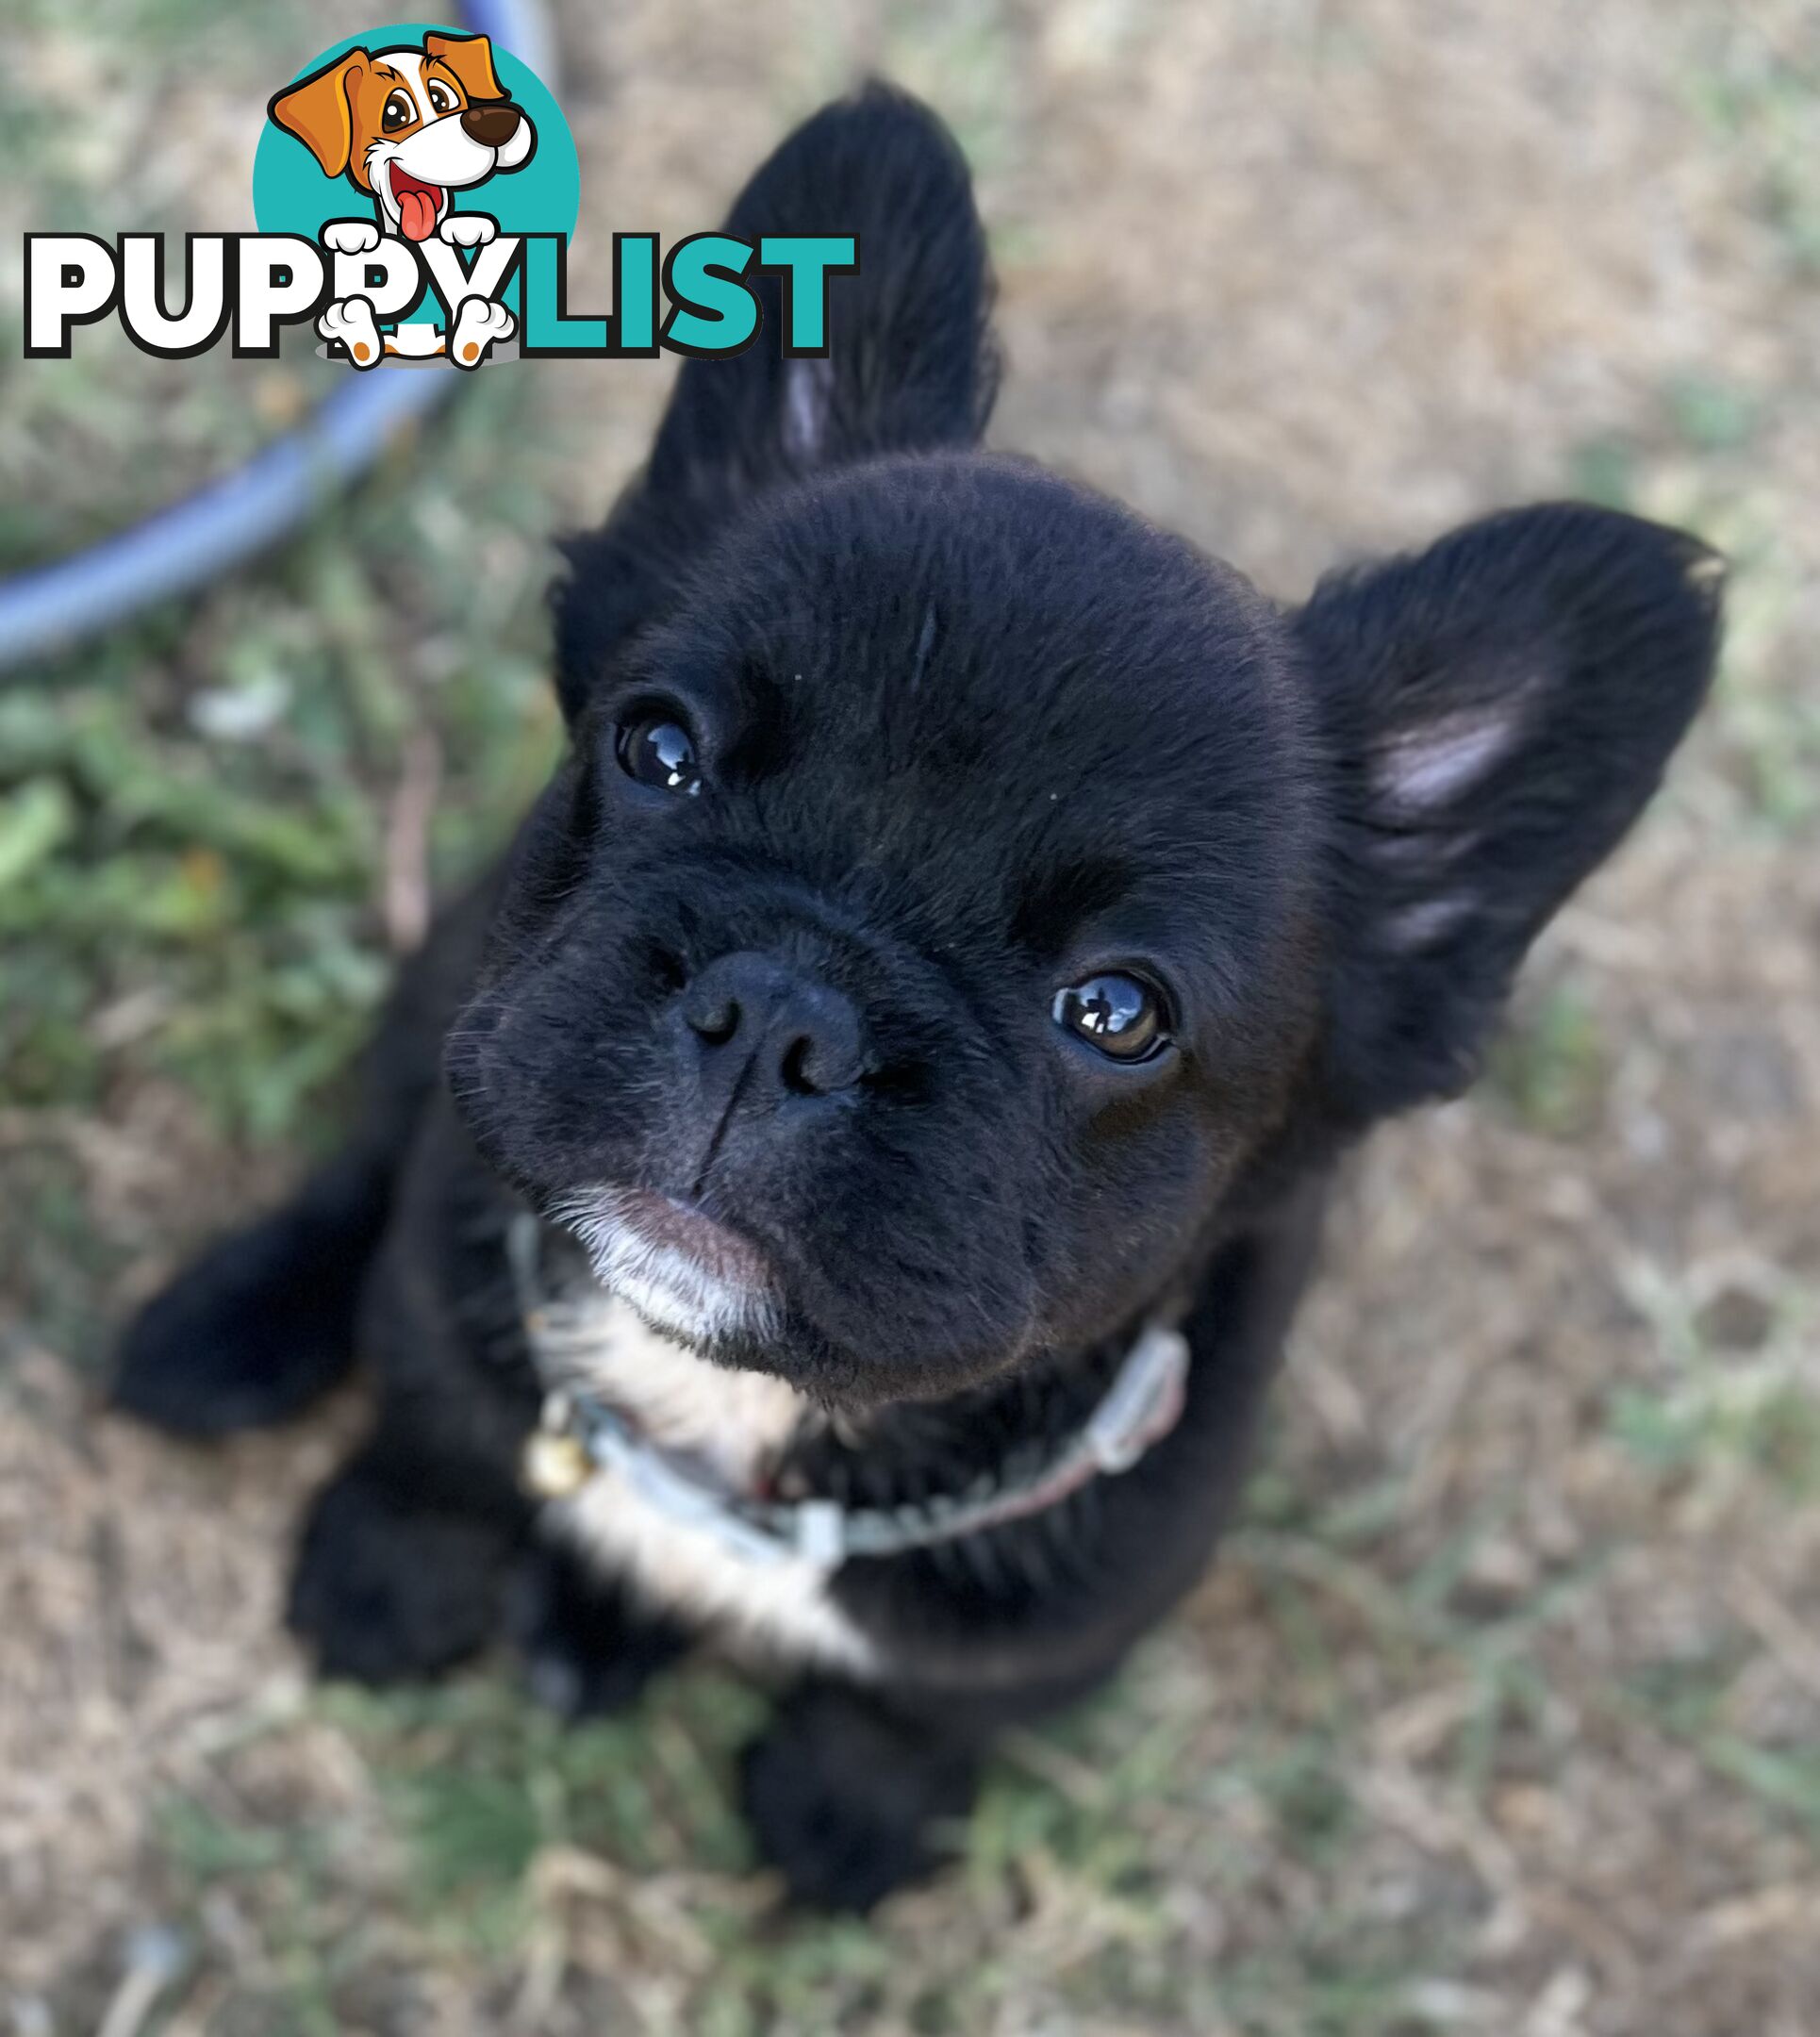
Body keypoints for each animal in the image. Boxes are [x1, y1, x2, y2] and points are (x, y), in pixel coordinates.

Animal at [113, 87, 1726, 1914]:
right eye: (656, 749)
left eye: (1118, 1013)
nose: (780, 1012)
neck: (743, 1430)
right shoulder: (462, 1299)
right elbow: (442, 1440)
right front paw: (391, 1572)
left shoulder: (1070, 1606)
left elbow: (925, 1706)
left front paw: (852, 1810)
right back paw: (228, 1327)